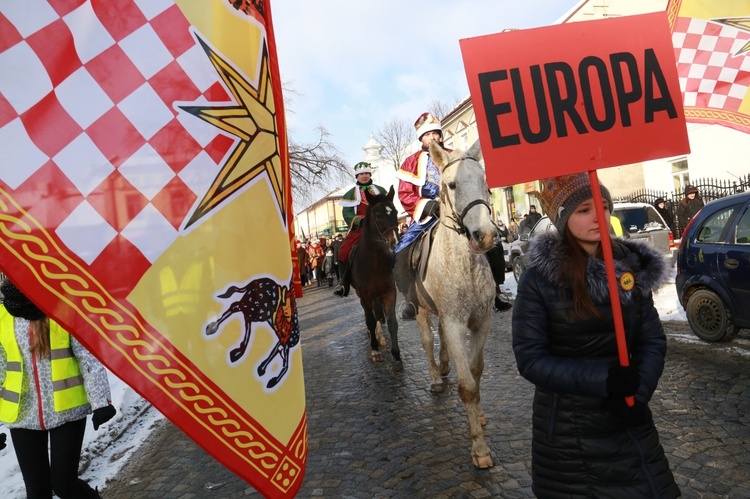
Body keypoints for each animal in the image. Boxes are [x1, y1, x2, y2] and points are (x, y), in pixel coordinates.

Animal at [352, 186, 402, 366]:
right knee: (371, 316)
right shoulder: (365, 294)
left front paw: (396, 353)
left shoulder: (389, 291)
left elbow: (392, 321)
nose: (395, 242)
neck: (375, 261)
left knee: (378, 314)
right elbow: (370, 320)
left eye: (395, 211)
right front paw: (374, 350)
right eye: (378, 215)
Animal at [414, 140, 496, 468]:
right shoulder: (455, 323)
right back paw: (437, 376)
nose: (485, 235)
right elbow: (467, 386)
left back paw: (445, 364)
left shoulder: (481, 322)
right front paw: (479, 448)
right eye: (451, 184)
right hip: (421, 311)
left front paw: (481, 416)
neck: (465, 266)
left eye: (485, 180)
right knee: (427, 340)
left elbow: (476, 371)